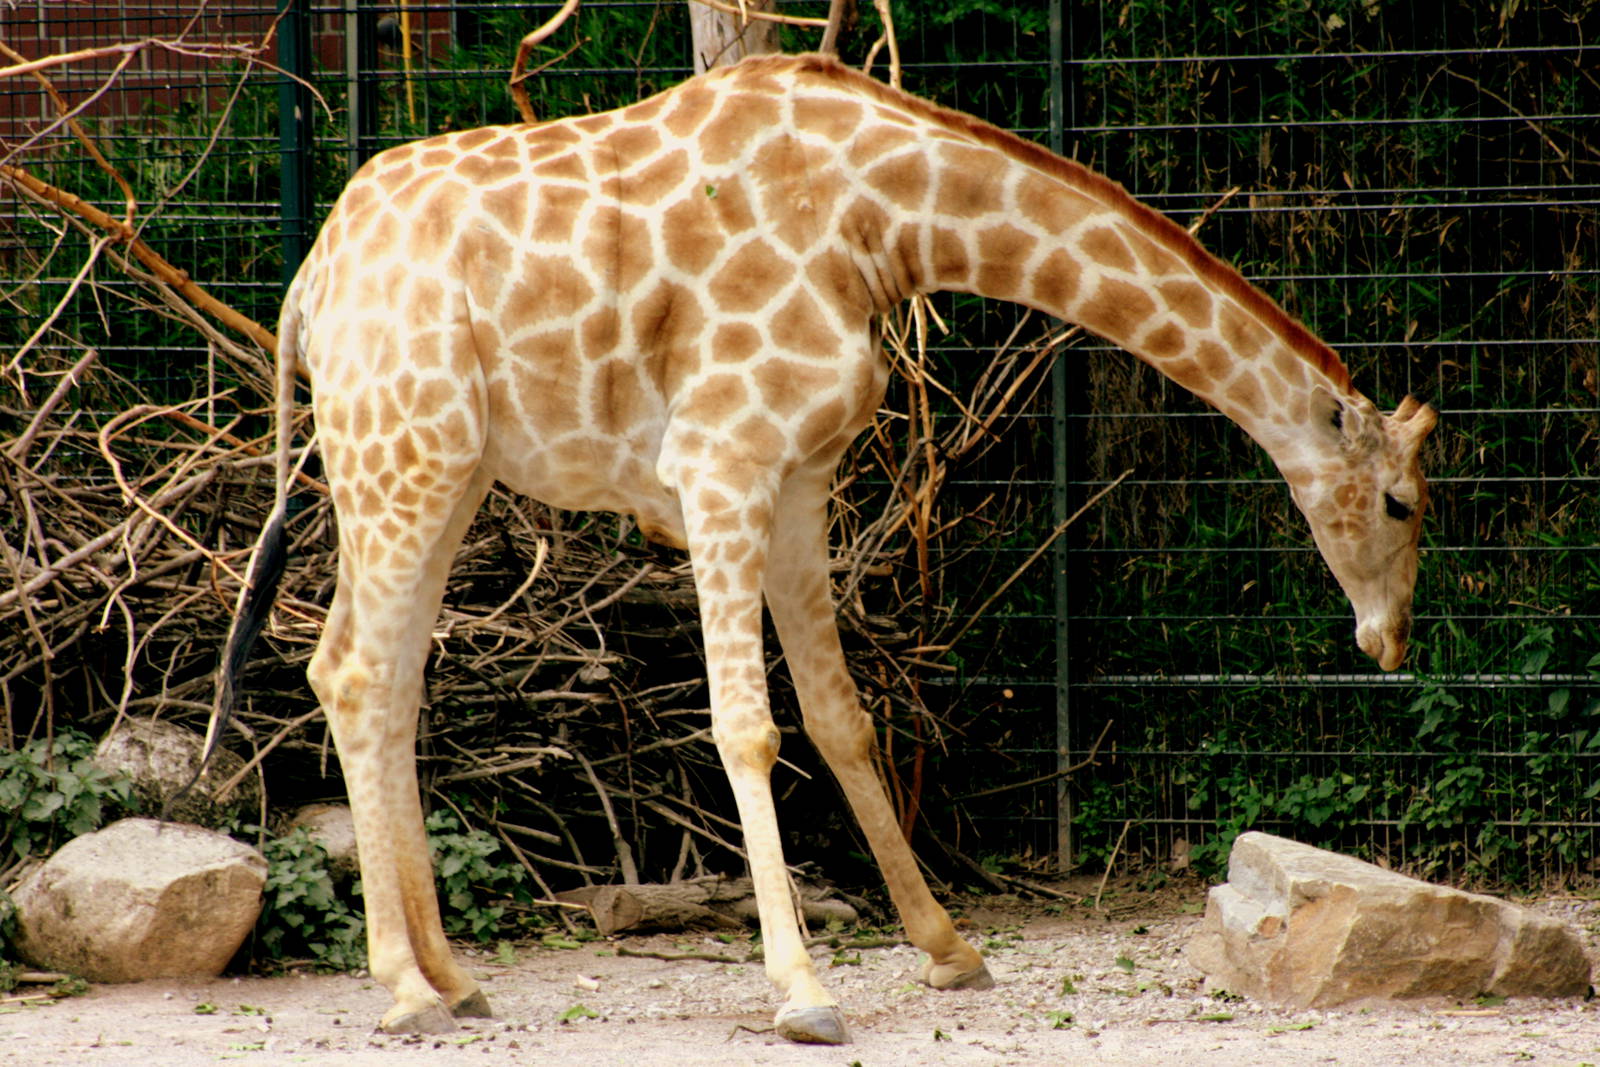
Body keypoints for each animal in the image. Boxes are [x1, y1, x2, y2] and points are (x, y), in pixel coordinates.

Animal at [228, 52, 1436, 1045]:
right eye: (1400, 503)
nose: (1388, 639)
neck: (881, 218)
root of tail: (307, 285)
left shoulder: (804, 474)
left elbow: (840, 713)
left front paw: (949, 947)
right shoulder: (721, 459)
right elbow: (747, 726)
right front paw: (803, 990)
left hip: (442, 464)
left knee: (381, 676)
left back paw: (452, 976)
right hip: (403, 452)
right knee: (354, 670)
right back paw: (404, 986)